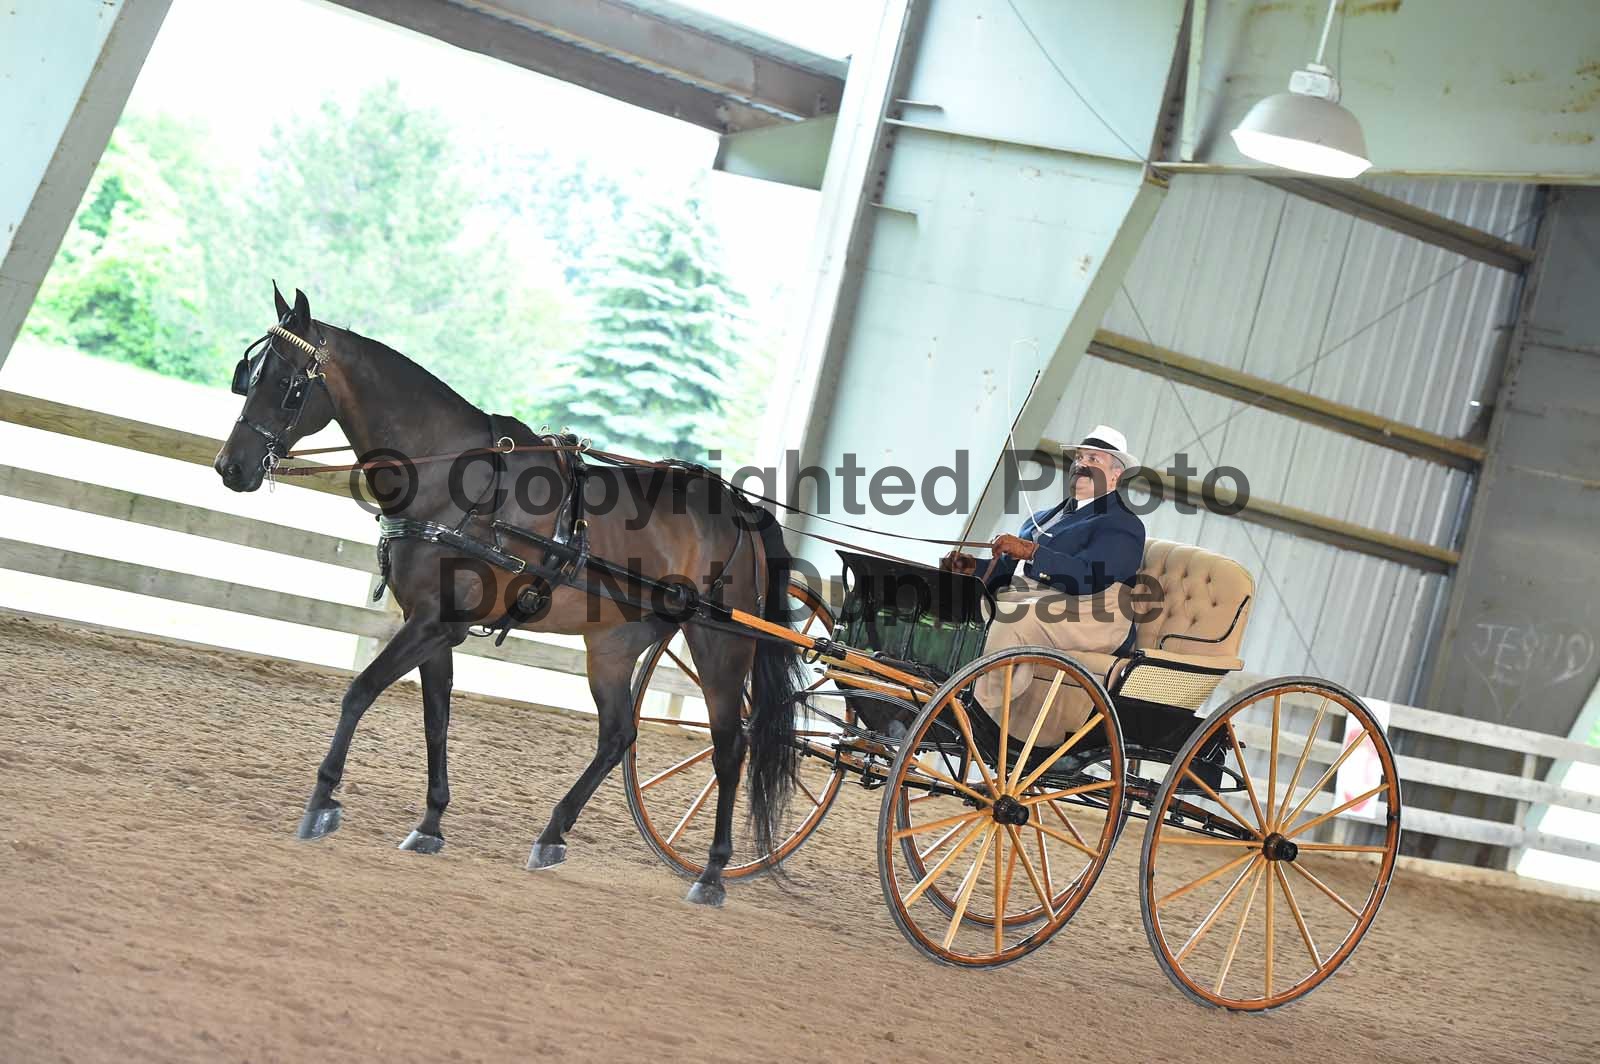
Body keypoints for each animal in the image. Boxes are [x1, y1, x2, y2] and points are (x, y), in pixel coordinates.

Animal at [213, 284, 804, 906]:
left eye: (287, 383)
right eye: (250, 374)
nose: (231, 467)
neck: (454, 478)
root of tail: (738, 506)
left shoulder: (431, 624)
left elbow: (359, 692)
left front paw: (323, 800)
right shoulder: (435, 627)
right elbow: (436, 717)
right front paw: (430, 822)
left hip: (719, 645)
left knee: (729, 748)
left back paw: (712, 873)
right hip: (613, 645)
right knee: (618, 735)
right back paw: (552, 835)